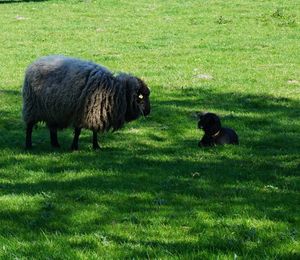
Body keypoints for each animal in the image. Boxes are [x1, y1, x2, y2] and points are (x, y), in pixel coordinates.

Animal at [21, 56, 150, 150]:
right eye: (142, 97)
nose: (148, 112)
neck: (115, 90)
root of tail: (34, 64)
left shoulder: (96, 113)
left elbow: (94, 131)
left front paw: (96, 146)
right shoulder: (81, 112)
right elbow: (78, 132)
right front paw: (74, 147)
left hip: (52, 111)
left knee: (52, 129)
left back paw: (55, 144)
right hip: (32, 107)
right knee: (29, 127)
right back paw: (28, 145)